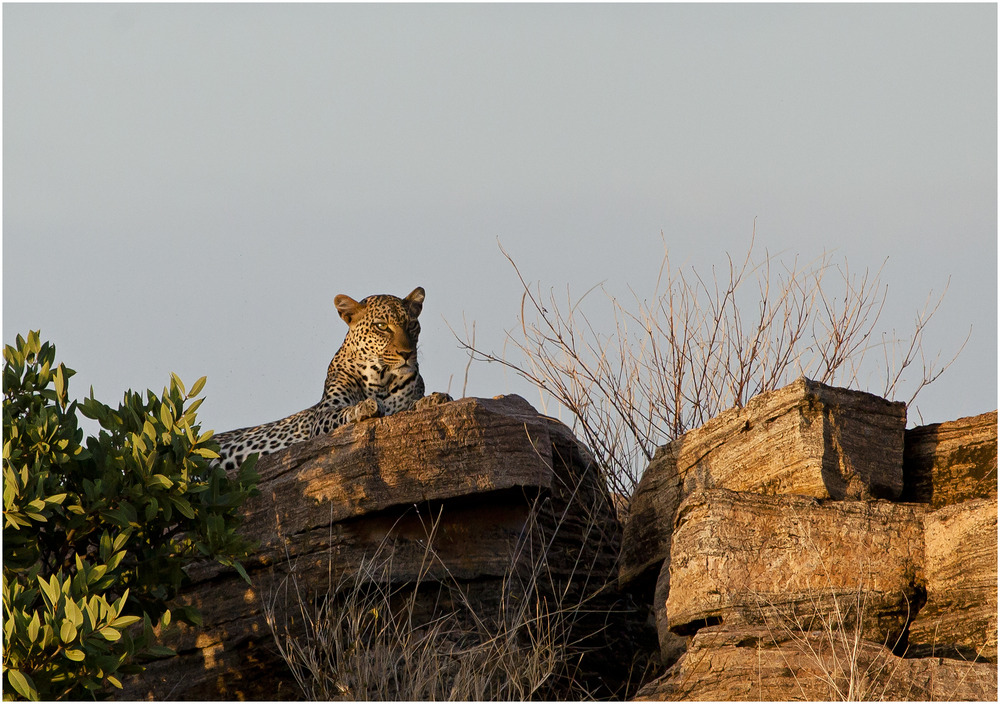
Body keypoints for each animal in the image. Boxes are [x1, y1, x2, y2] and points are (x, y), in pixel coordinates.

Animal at [213, 286, 452, 472]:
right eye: (381, 326)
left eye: (411, 325)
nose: (407, 354)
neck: (381, 378)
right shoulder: (321, 417)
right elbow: (344, 412)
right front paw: (365, 407)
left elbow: (410, 405)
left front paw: (435, 399)